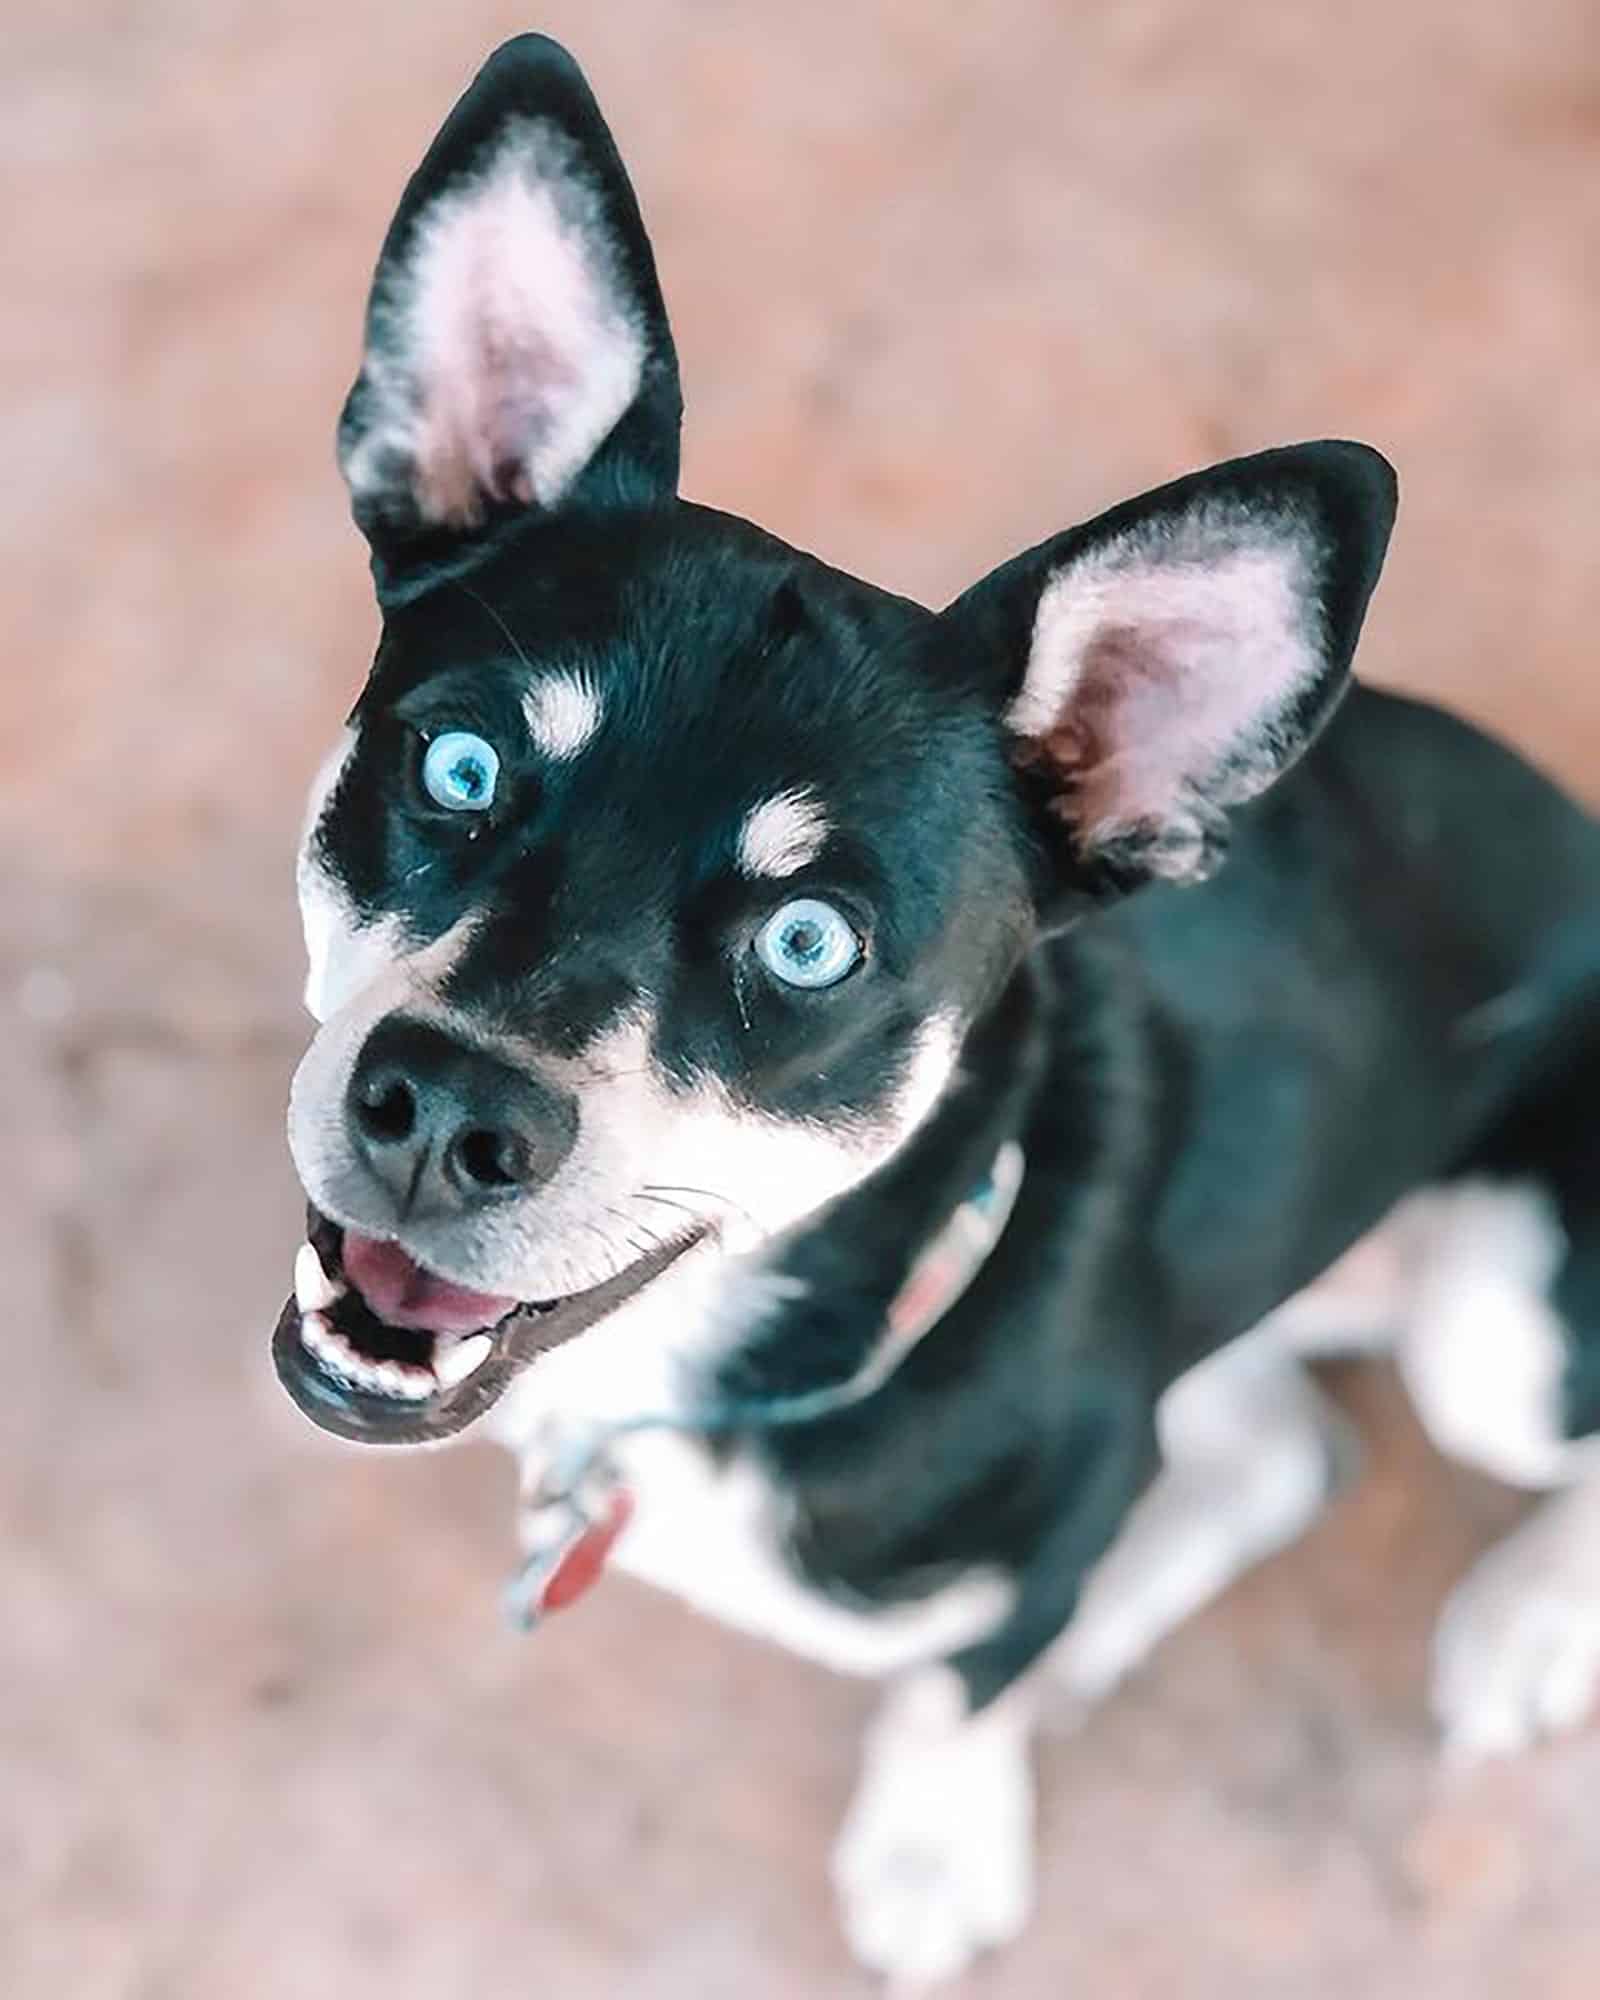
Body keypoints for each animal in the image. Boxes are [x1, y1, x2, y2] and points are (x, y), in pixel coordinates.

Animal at [276, 31, 1600, 1984]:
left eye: (812, 946)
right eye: (459, 766)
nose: (442, 1113)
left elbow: (956, 1685)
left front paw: (931, 1844)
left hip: (1496, 1321)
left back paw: (1518, 1623)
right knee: (1274, 1457)